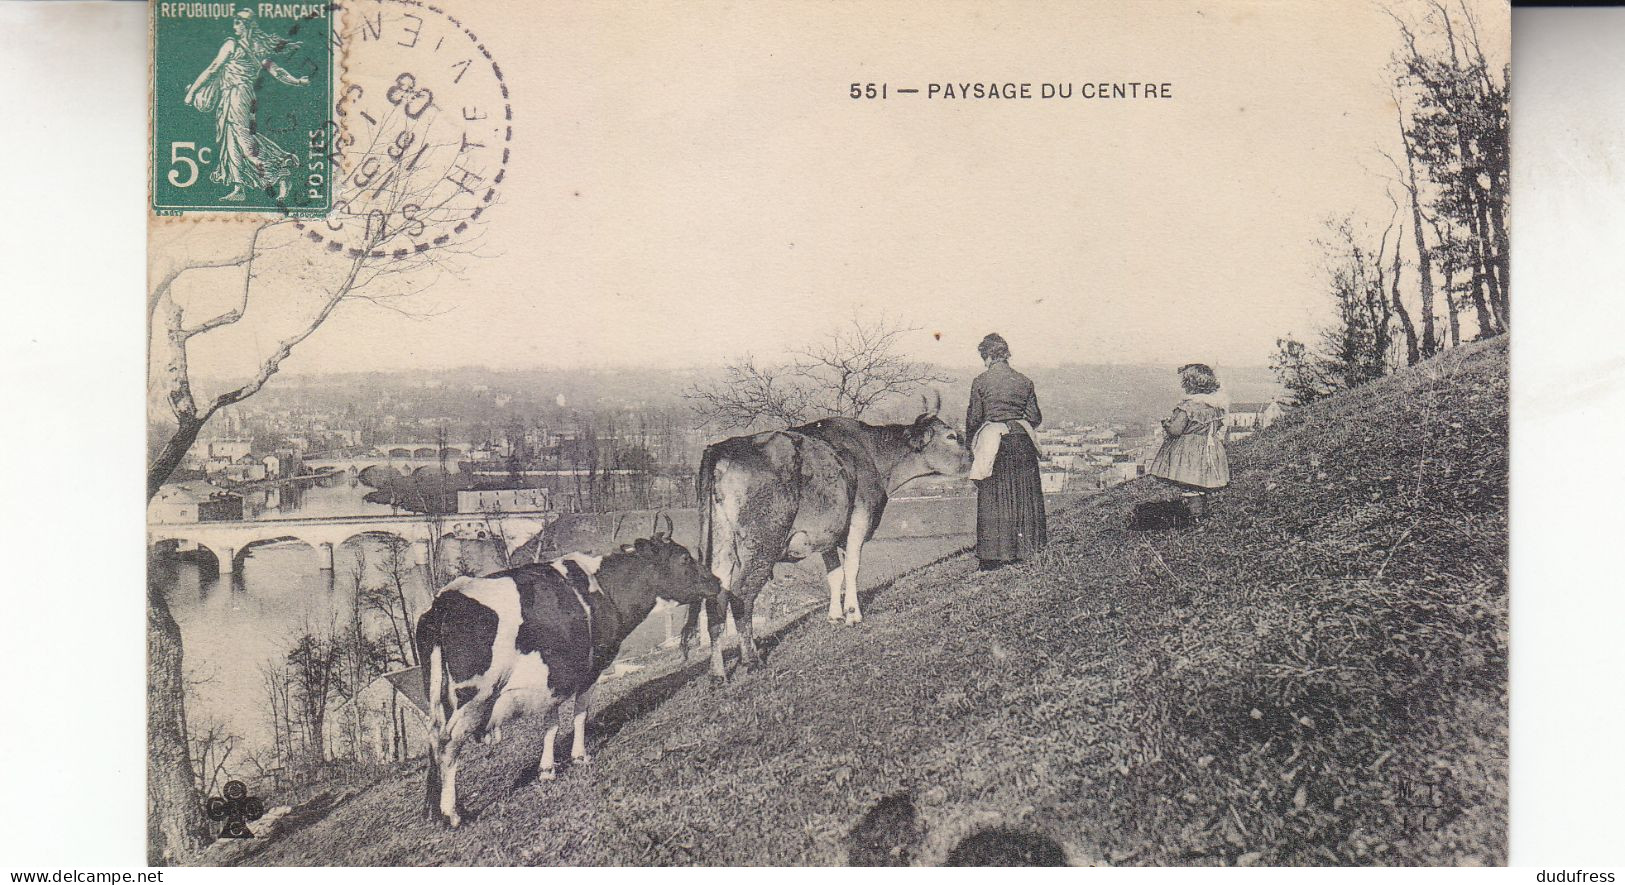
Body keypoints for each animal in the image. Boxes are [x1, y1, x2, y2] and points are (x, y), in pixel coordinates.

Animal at [416, 532, 721, 828]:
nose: (717, 581)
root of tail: (443, 601)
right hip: (476, 696)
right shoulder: (591, 669)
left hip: (440, 697)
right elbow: (580, 715)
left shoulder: (553, 678)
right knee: (449, 743)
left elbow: (551, 724)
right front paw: (579, 756)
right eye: (684, 558)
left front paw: (547, 769)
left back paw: (434, 809)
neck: (605, 589)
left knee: (433, 736)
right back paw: (452, 814)